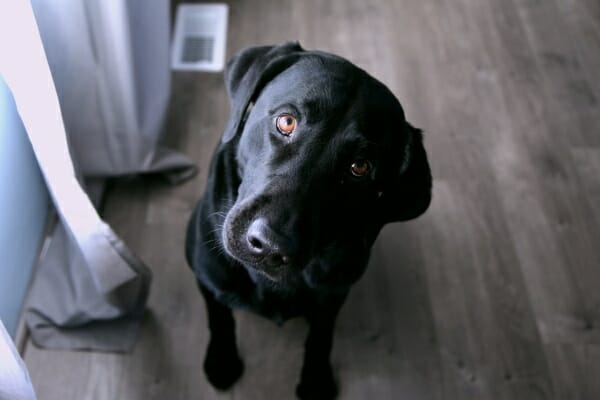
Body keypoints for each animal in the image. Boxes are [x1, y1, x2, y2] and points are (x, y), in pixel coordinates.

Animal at [185, 42, 428, 398]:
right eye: (286, 122)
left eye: (360, 167)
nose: (268, 246)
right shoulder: (206, 273)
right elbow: (219, 314)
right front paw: (222, 359)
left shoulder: (334, 293)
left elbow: (321, 335)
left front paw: (315, 379)